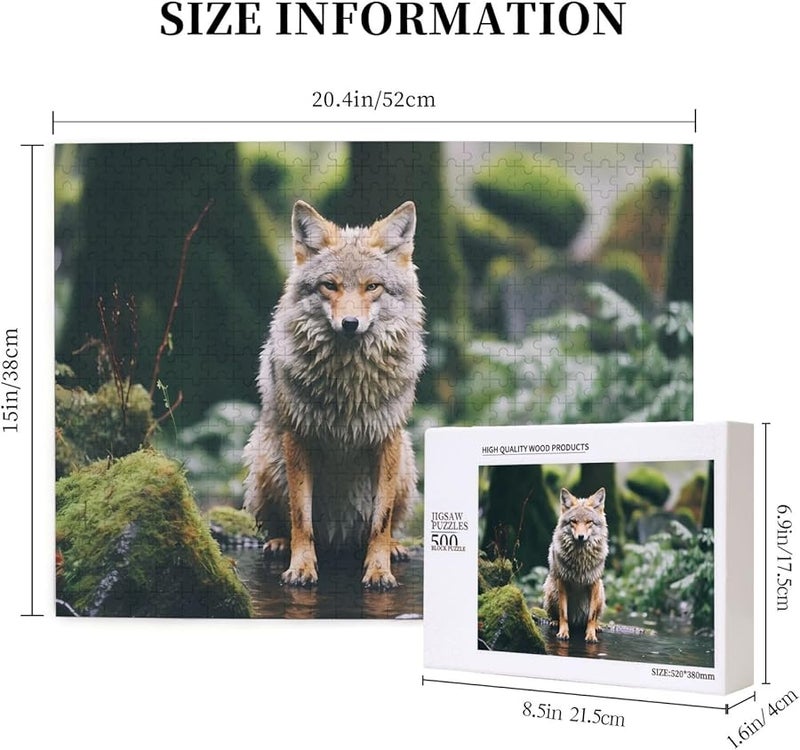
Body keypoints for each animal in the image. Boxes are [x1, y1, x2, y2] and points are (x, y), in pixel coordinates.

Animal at [242, 199, 425, 590]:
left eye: (373, 287)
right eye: (330, 285)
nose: (350, 324)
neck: (349, 383)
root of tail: (338, 540)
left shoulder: (387, 438)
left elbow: (381, 519)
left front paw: (379, 570)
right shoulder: (298, 437)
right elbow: (301, 517)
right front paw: (301, 567)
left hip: (406, 462)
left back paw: (395, 548)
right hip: (267, 460)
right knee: (278, 522)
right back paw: (279, 544)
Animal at [542, 488, 608, 642]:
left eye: (589, 522)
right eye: (573, 521)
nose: (581, 537)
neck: (580, 559)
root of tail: (577, 621)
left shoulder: (594, 582)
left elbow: (591, 616)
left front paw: (591, 635)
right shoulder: (562, 581)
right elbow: (563, 613)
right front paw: (563, 632)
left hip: (601, 592)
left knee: (595, 616)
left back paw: (597, 626)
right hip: (551, 589)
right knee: (553, 614)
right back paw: (554, 622)